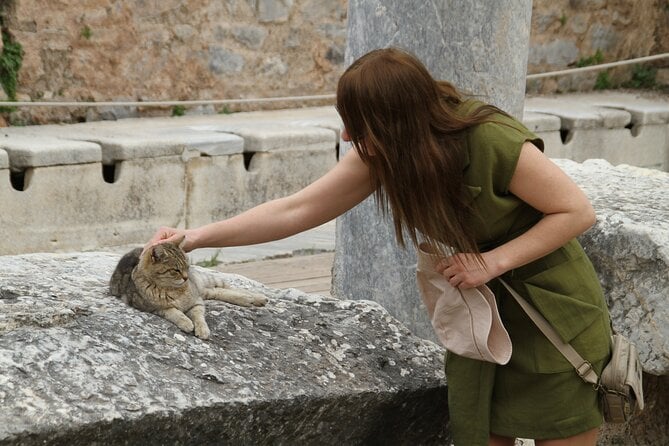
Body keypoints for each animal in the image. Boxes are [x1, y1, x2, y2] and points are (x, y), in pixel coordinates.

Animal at [109, 239, 266, 340]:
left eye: (187, 266)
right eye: (176, 270)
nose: (185, 277)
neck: (174, 290)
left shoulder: (196, 302)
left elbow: (199, 317)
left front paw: (202, 329)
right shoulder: (154, 308)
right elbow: (175, 313)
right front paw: (186, 322)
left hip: (204, 281)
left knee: (229, 287)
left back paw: (256, 297)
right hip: (204, 290)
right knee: (218, 292)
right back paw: (250, 300)